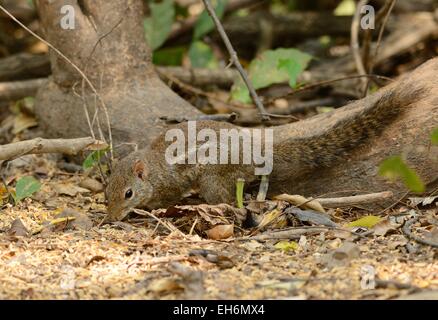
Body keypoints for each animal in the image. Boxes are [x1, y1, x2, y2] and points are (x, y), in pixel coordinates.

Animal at [105, 89, 418, 221]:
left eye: (128, 193)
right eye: (107, 192)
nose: (111, 218)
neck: (154, 168)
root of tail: (255, 150)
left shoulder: (169, 184)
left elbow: (165, 198)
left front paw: (150, 208)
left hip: (213, 177)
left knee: (226, 199)